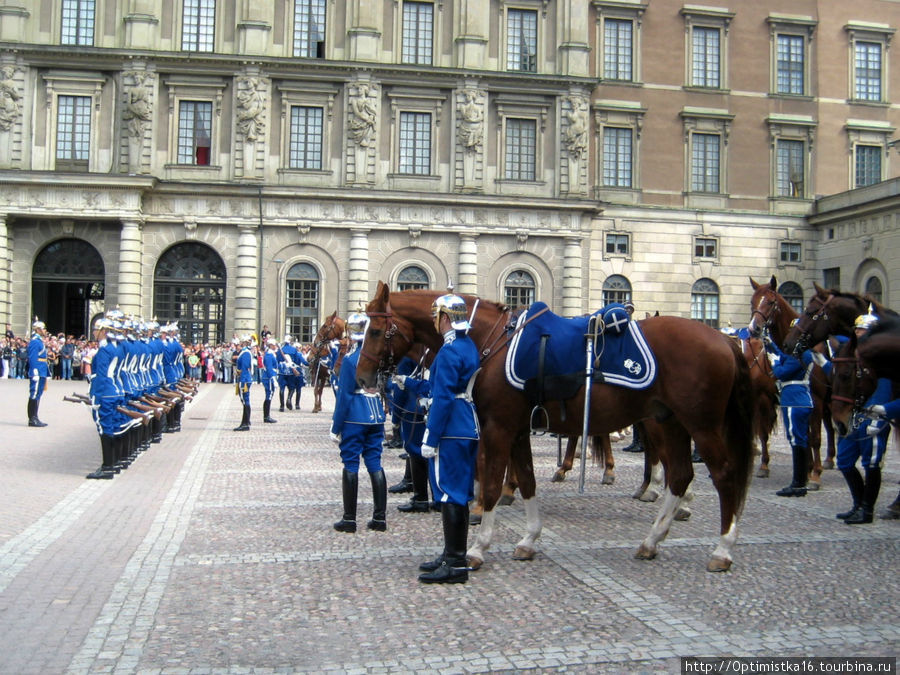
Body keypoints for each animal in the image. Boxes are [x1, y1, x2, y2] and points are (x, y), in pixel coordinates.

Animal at [356, 282, 756, 572]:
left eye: (375, 330)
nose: (361, 377)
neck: (492, 340)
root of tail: (723, 340)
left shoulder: (498, 428)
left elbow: (490, 485)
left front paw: (478, 548)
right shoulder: (517, 429)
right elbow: (527, 480)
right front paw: (528, 540)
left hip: (701, 426)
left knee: (723, 475)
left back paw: (722, 549)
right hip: (670, 422)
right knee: (681, 475)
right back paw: (652, 540)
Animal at [744, 278, 836, 480]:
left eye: (771, 302)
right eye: (752, 302)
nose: (754, 328)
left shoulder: (814, 400)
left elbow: (814, 437)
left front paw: (814, 473)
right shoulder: (765, 398)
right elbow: (764, 433)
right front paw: (764, 466)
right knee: (830, 426)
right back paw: (829, 459)